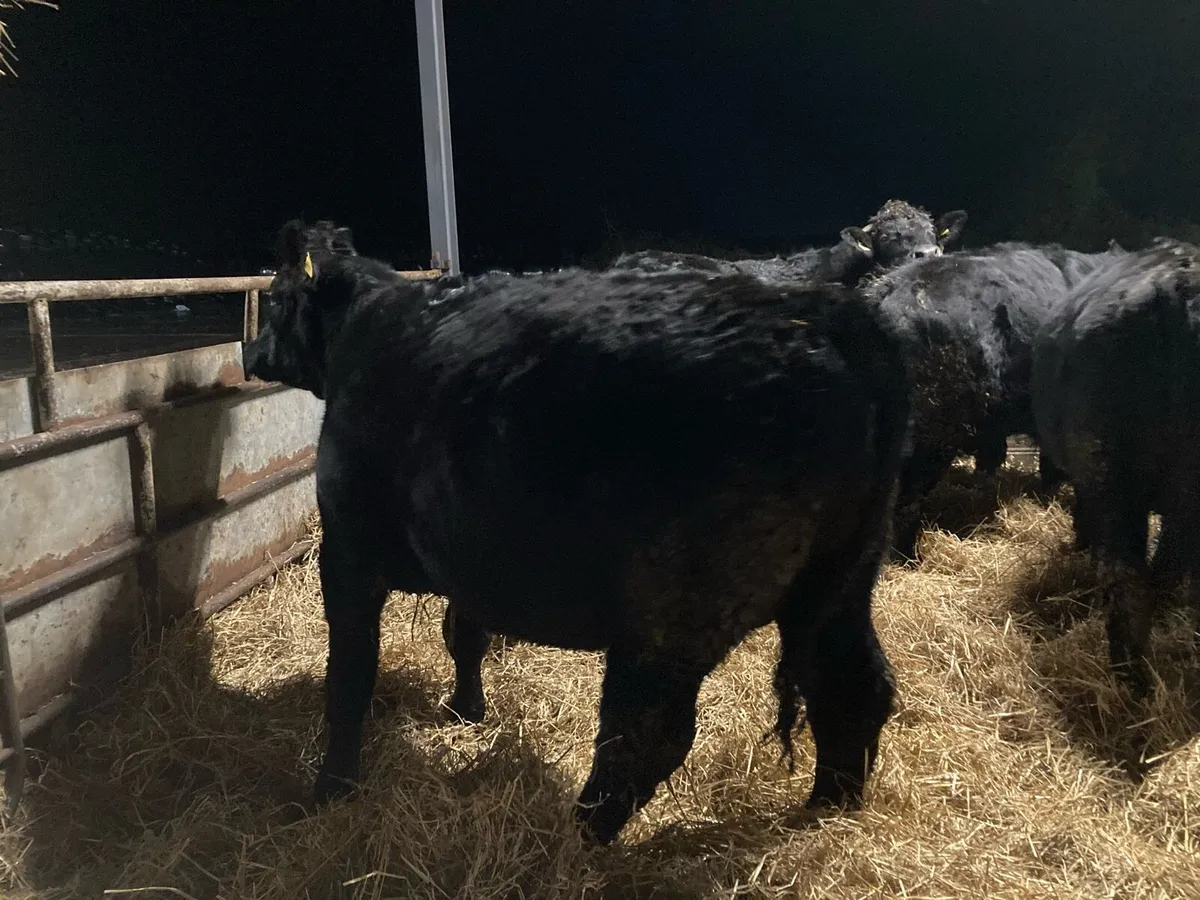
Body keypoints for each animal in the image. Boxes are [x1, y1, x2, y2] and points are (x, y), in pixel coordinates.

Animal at [242, 219, 912, 844]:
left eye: (273, 296)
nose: (248, 354)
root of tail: (817, 314)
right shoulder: (471, 554)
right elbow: (465, 636)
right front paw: (466, 712)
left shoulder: (348, 544)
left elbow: (350, 673)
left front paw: (330, 789)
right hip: (841, 580)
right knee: (853, 684)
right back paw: (829, 809)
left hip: (677, 600)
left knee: (647, 732)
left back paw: (577, 838)